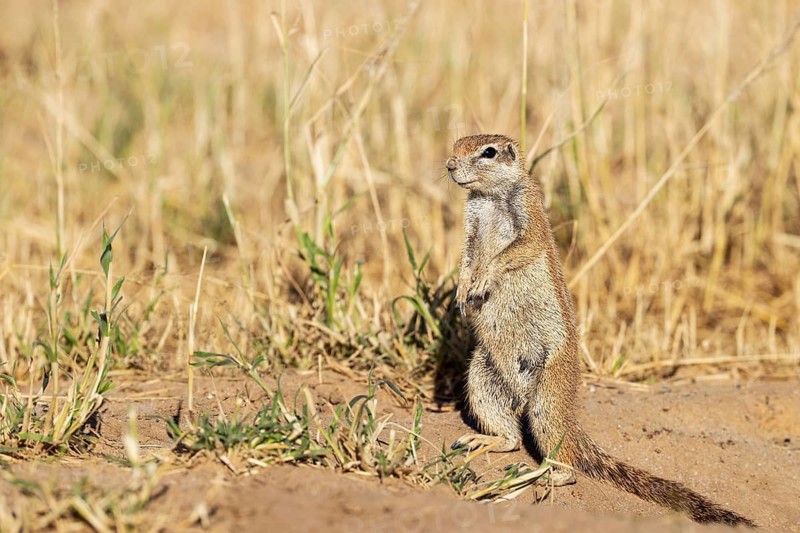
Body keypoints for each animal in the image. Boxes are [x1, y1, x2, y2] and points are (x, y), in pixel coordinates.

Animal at [446, 133, 754, 527]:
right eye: (457, 144)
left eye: (488, 152)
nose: (450, 165)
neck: (489, 197)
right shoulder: (470, 228)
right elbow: (466, 259)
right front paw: (462, 290)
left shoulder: (529, 217)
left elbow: (514, 251)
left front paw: (483, 279)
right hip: (483, 379)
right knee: (511, 437)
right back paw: (487, 441)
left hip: (548, 399)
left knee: (565, 461)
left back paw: (548, 477)